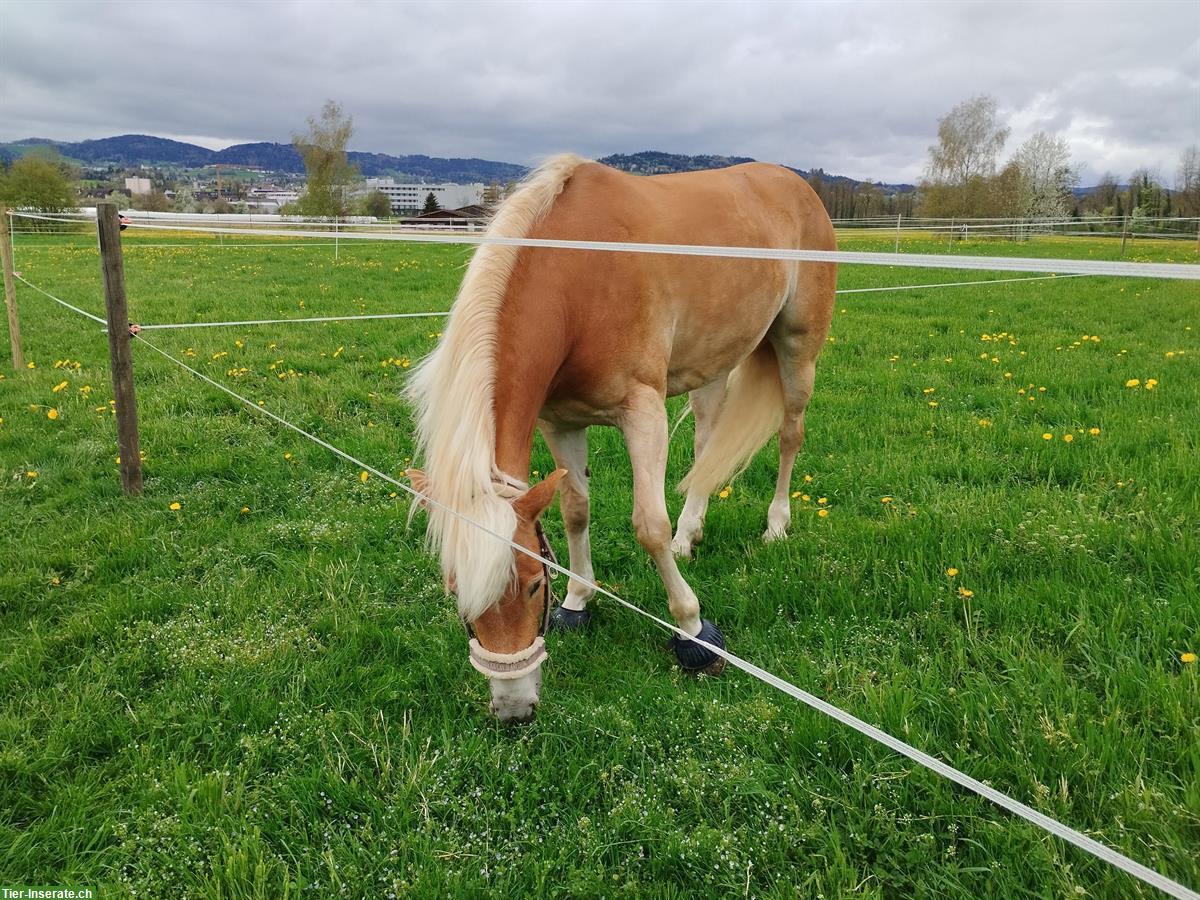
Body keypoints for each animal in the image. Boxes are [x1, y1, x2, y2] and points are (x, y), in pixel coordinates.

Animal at [403, 151, 835, 724]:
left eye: (533, 583)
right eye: (455, 590)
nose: (514, 708)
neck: (578, 277)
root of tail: (797, 186)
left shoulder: (643, 413)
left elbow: (648, 526)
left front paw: (694, 631)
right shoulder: (561, 422)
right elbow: (575, 511)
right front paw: (578, 601)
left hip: (797, 349)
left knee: (789, 434)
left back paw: (776, 525)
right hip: (714, 362)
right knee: (707, 447)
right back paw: (689, 536)